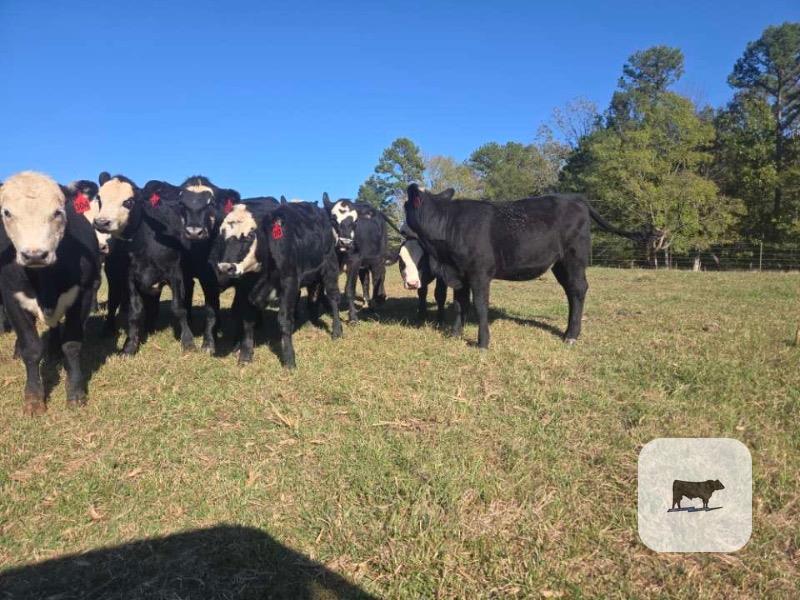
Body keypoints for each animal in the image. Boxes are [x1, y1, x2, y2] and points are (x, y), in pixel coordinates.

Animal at [0, 172, 101, 415]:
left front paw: (75, 392)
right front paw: (34, 398)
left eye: (58, 211)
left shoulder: (83, 293)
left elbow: (72, 344)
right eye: (7, 212)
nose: (35, 254)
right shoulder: (10, 297)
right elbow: (30, 348)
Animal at [210, 196, 279, 363]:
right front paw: (242, 349)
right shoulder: (243, 290)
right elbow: (244, 317)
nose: (225, 268)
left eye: (249, 236)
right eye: (221, 235)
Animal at [248, 201, 342, 368]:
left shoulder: (290, 281)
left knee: (333, 297)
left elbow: (284, 318)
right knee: (316, 296)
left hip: (329, 267)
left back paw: (336, 331)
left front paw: (289, 358)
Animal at [322, 193, 388, 322]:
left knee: (379, 275)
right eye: (333, 219)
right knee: (366, 280)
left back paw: (378, 300)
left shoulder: (354, 262)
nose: (345, 243)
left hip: (378, 257)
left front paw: (352, 317)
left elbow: (349, 289)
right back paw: (367, 303)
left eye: (356, 221)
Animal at [403, 184, 647, 348]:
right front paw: (455, 335)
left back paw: (571, 335)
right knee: (571, 291)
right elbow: (459, 304)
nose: (403, 230)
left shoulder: (479, 273)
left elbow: (480, 305)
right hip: (559, 263)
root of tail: (575, 198)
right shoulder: (459, 274)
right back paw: (568, 331)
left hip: (574, 257)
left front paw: (483, 343)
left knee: (578, 290)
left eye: (405, 206)